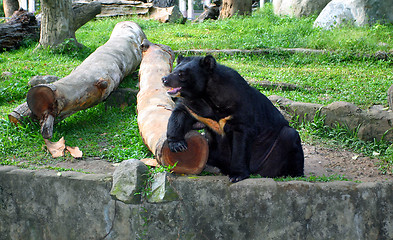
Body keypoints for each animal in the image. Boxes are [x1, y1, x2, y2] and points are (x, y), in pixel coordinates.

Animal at [161, 54, 302, 182]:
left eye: (181, 74)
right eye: (174, 70)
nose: (164, 79)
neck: (205, 97)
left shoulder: (239, 107)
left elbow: (240, 141)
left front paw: (237, 175)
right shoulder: (194, 107)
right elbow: (179, 115)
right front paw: (178, 145)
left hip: (278, 144)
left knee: (291, 137)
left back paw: (291, 174)